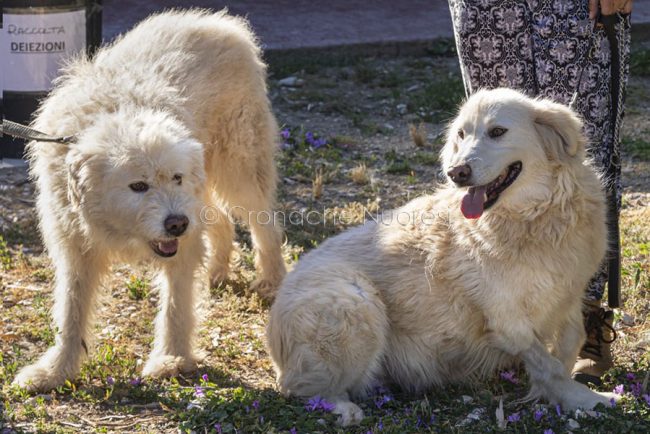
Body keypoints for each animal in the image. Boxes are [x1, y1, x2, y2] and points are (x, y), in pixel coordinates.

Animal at [13, 9, 284, 390]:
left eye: (175, 177)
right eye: (138, 186)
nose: (176, 224)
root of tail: (223, 22)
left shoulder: (183, 241)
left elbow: (176, 306)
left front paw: (171, 359)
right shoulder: (75, 248)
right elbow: (70, 311)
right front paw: (55, 371)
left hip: (238, 169)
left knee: (265, 224)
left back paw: (272, 280)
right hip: (206, 187)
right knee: (221, 222)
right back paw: (216, 271)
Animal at [266, 89, 616, 428]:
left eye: (498, 131)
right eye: (461, 134)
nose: (456, 172)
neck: (534, 219)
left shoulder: (568, 294)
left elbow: (571, 342)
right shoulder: (506, 320)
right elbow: (549, 365)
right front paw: (584, 399)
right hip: (356, 301)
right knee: (299, 387)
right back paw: (344, 410)